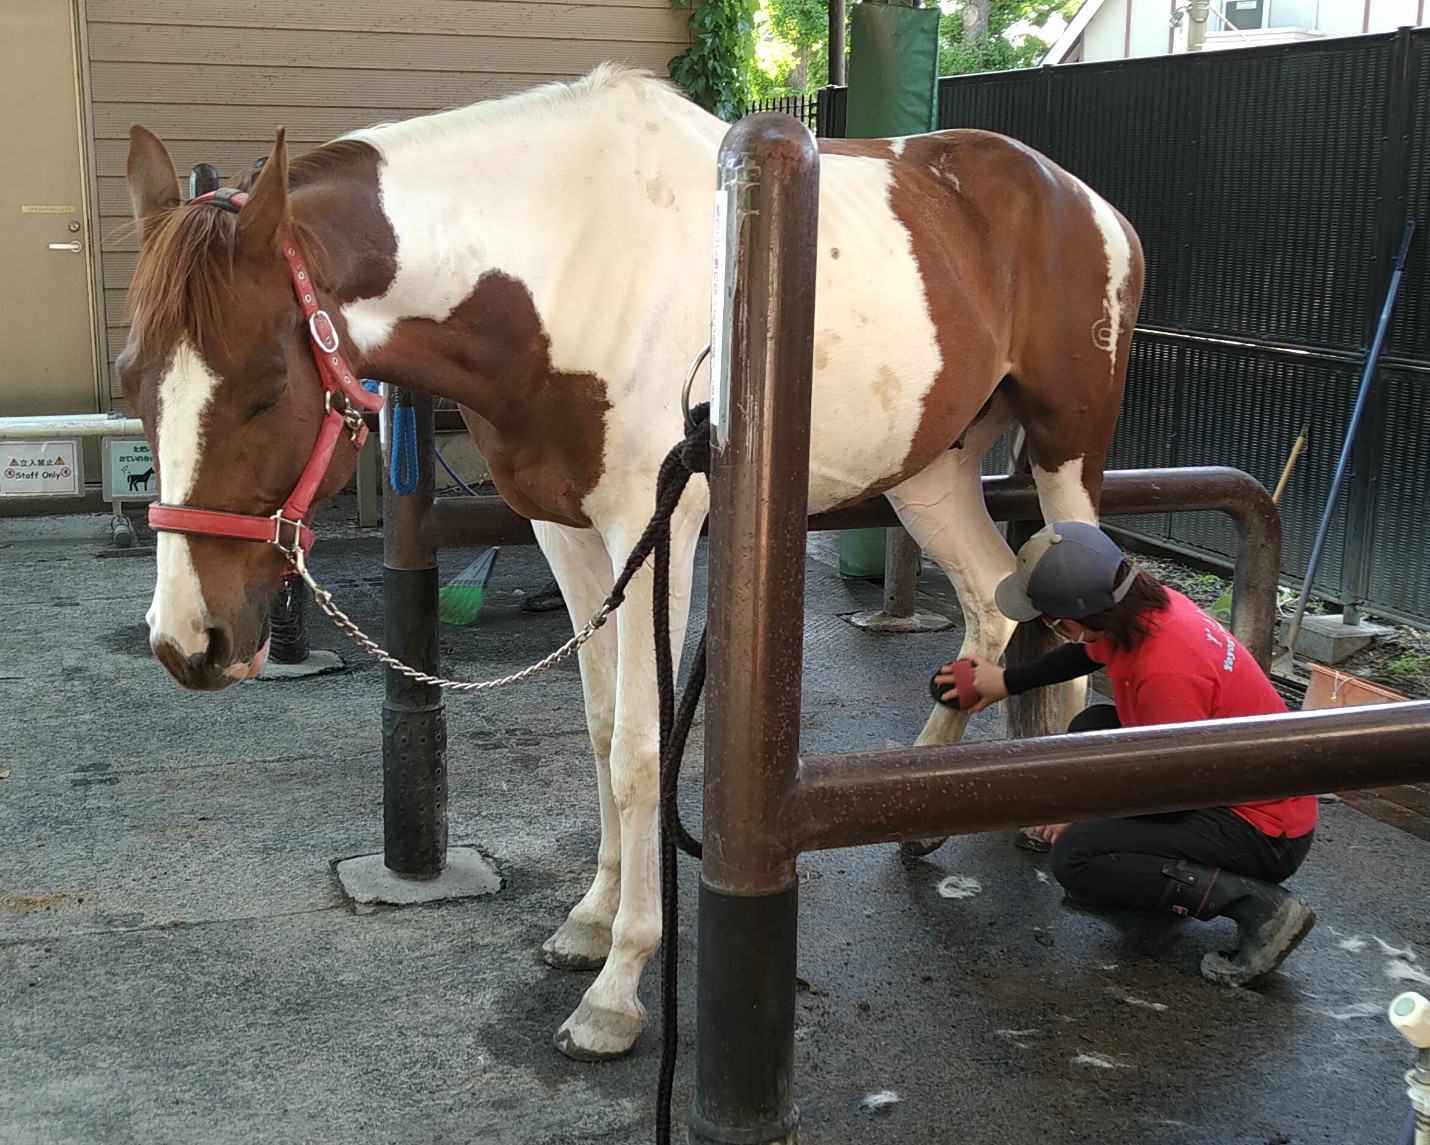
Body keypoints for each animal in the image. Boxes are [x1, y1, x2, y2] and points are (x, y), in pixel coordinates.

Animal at [117, 64, 1144, 1063]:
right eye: (132, 382)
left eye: (265, 387)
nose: (188, 641)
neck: (565, 266)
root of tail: (1088, 202)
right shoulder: (566, 537)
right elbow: (602, 730)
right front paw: (590, 920)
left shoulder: (655, 536)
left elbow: (644, 753)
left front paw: (619, 988)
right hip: (932, 474)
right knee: (995, 610)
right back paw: (933, 810)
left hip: (1066, 459)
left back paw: (1045, 807)